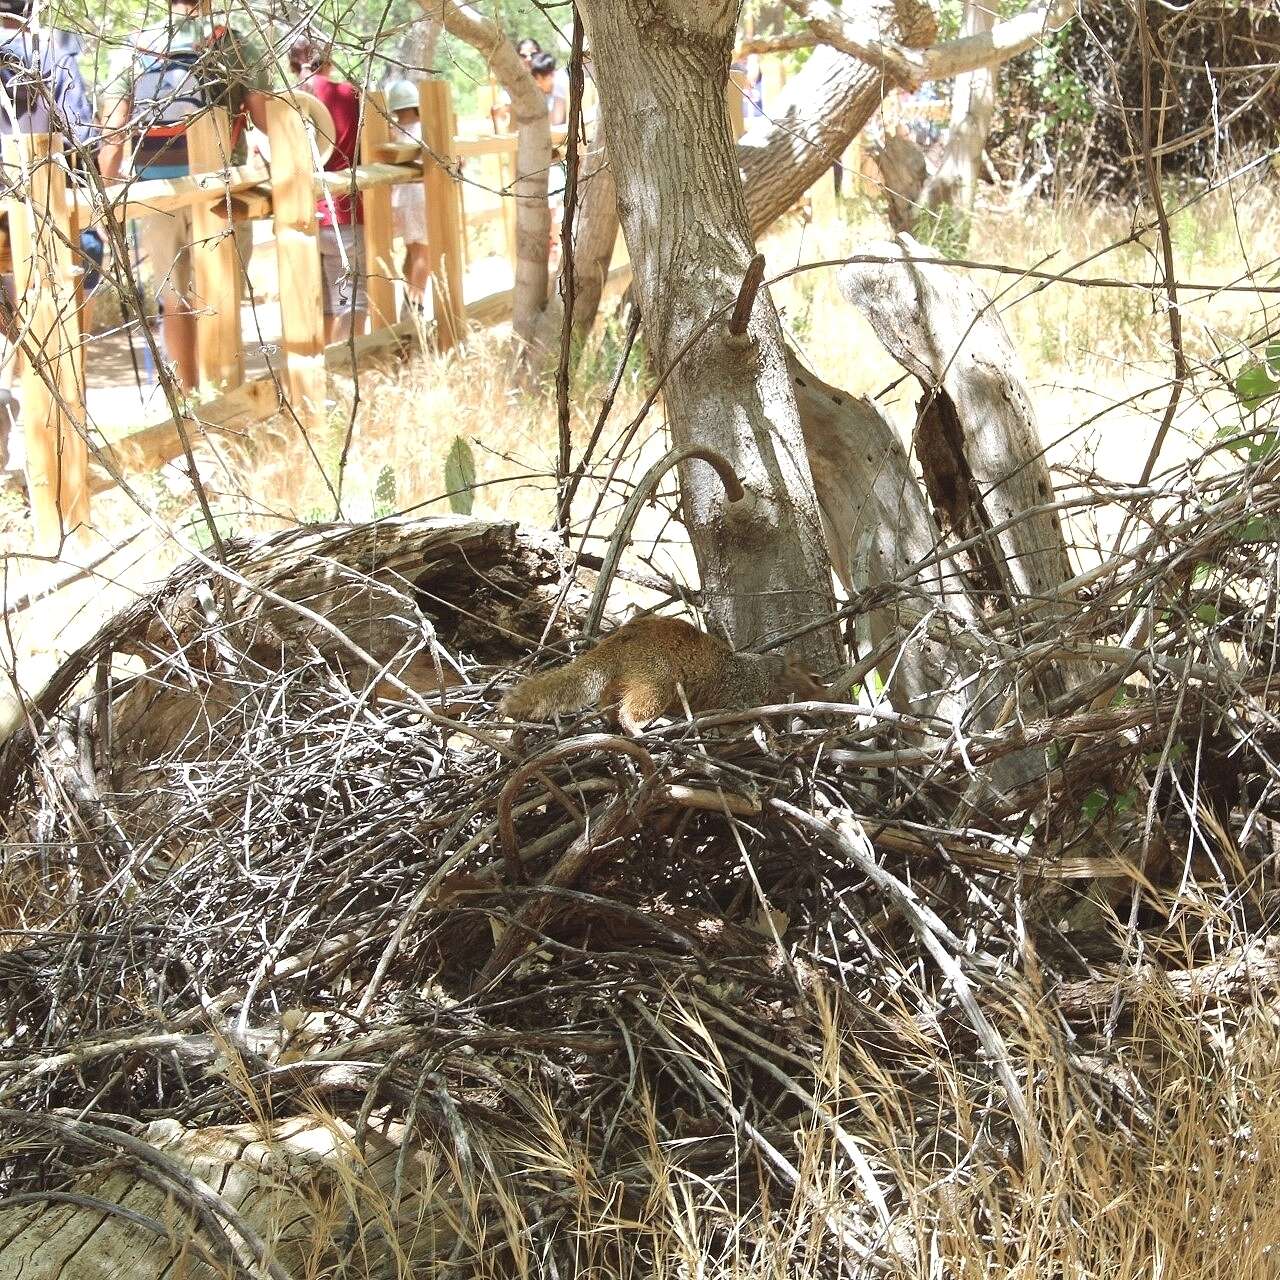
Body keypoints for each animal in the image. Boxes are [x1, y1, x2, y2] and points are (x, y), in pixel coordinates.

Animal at [499, 616, 829, 737]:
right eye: (815, 679)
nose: (828, 697)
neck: (765, 675)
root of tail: (622, 639)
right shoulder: (743, 698)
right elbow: (743, 720)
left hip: (625, 682)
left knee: (609, 704)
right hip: (657, 683)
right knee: (630, 710)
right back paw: (638, 730)